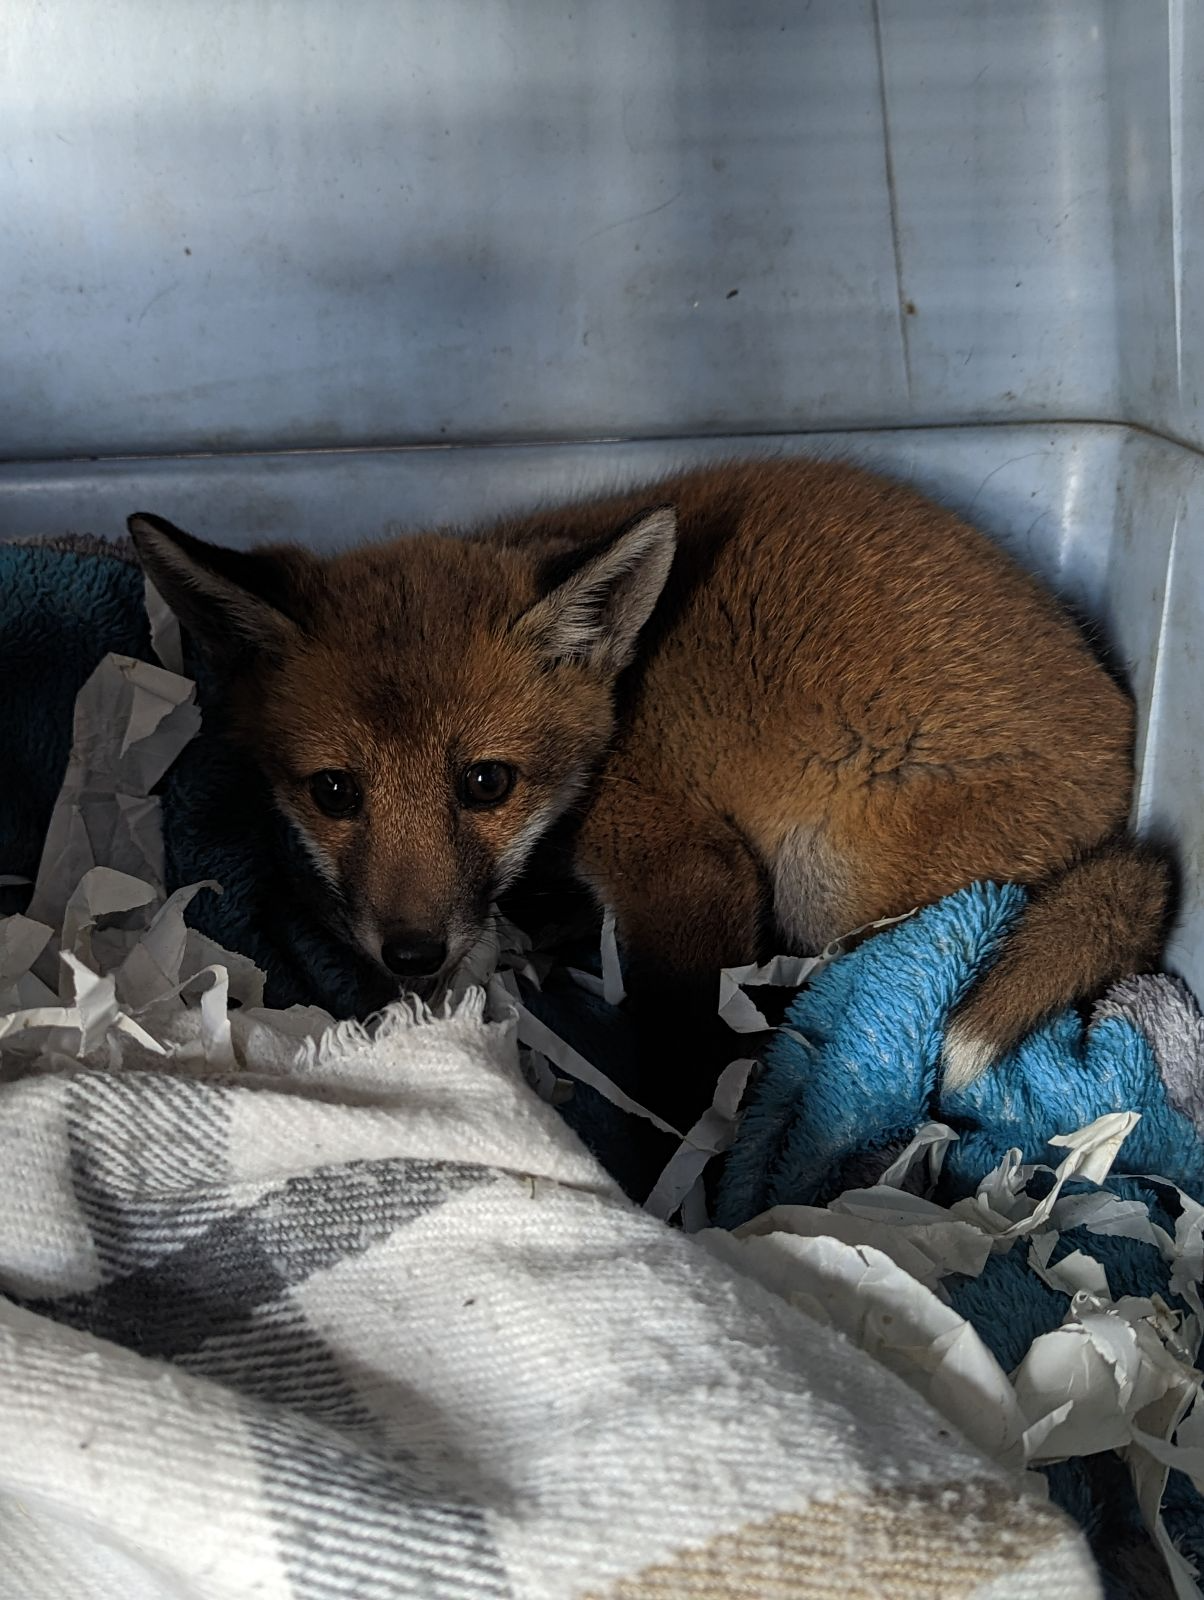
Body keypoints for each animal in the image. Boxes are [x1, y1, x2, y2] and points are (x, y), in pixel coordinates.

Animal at [128, 457, 1170, 1090]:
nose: (413, 956)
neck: (619, 707)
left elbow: (683, 1057)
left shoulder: (689, 872)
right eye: (335, 792)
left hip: (828, 883)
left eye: (486, 783)